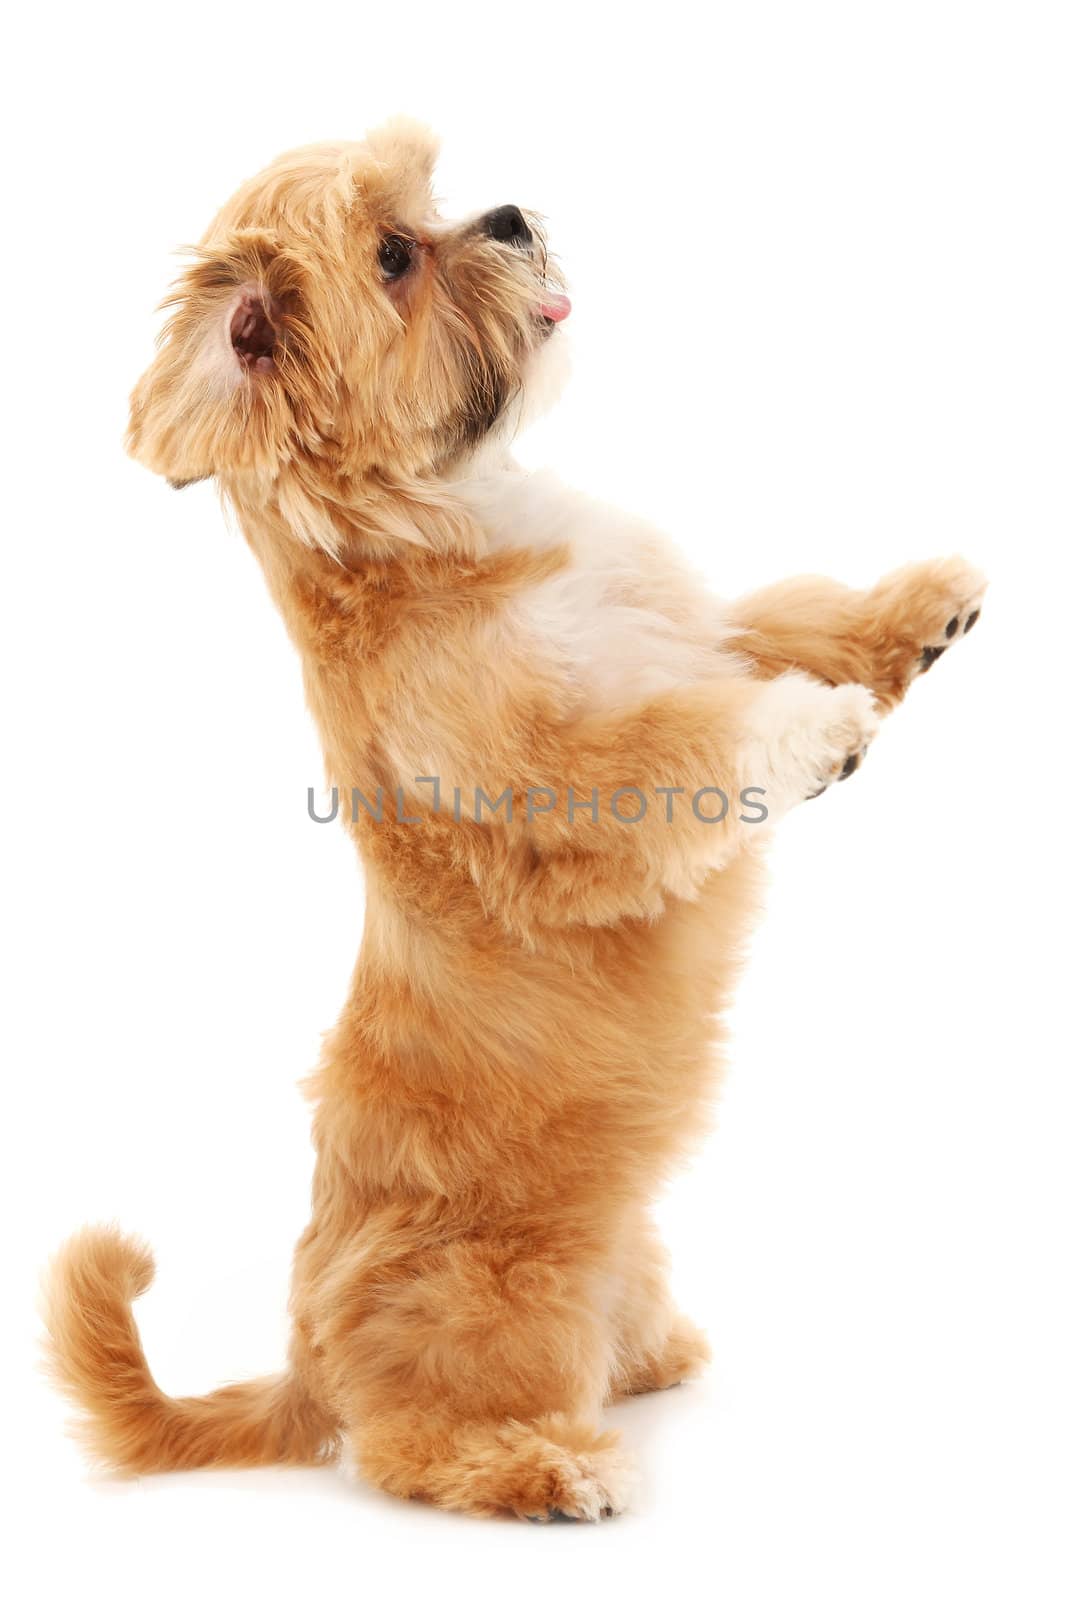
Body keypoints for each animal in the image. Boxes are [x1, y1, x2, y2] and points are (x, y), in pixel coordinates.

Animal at [43, 118, 991, 1516]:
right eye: (395, 255)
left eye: (441, 203)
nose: (505, 215)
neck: (461, 524)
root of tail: (304, 1359)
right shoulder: (567, 777)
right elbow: (700, 737)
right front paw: (817, 730)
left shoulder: (691, 632)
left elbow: (793, 615)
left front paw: (917, 610)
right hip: (495, 1299)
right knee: (405, 1444)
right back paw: (541, 1466)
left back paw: (645, 1360)